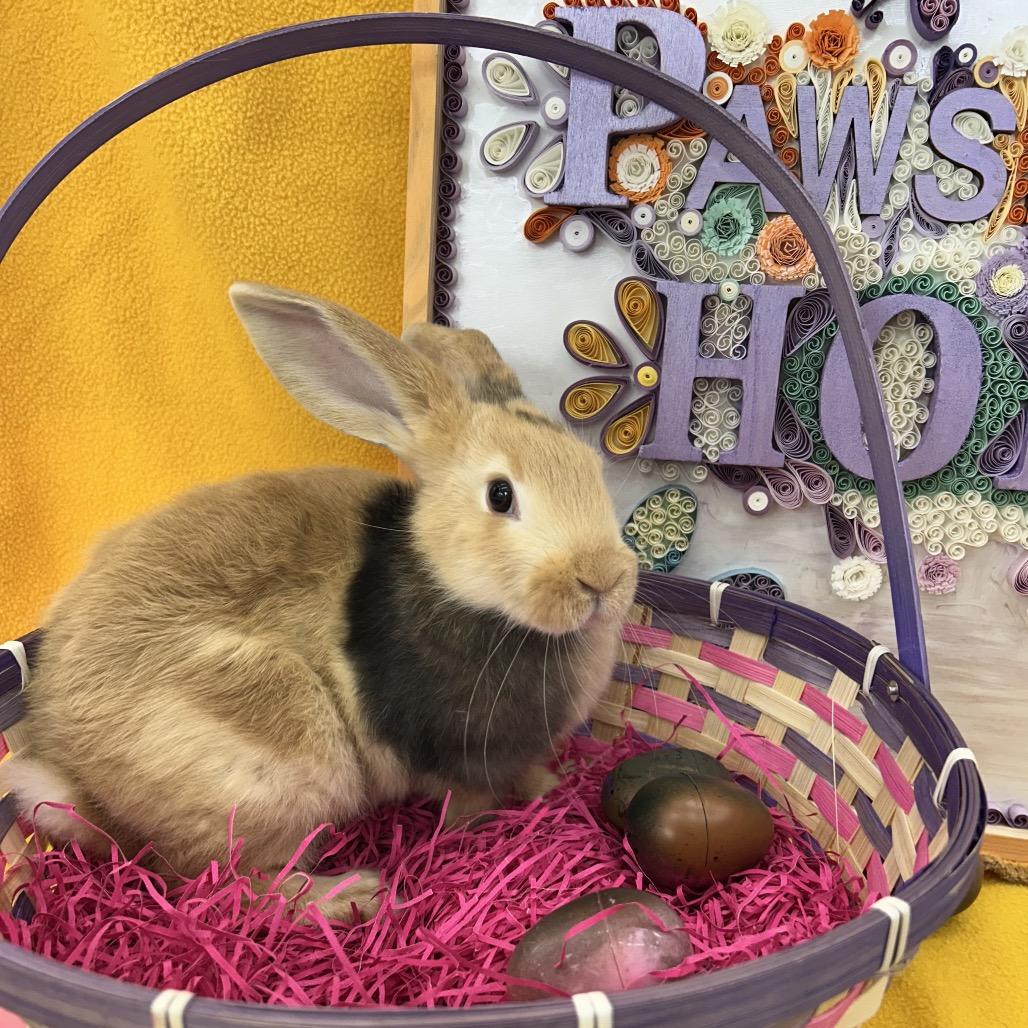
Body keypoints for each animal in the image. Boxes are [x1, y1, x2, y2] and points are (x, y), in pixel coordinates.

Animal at [1, 282, 639, 923]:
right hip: (279, 767)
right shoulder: (457, 754)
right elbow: (468, 797)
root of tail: (76, 780)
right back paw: (354, 894)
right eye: (500, 495)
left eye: (593, 470)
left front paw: (551, 785)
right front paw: (485, 822)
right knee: (228, 885)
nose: (603, 580)